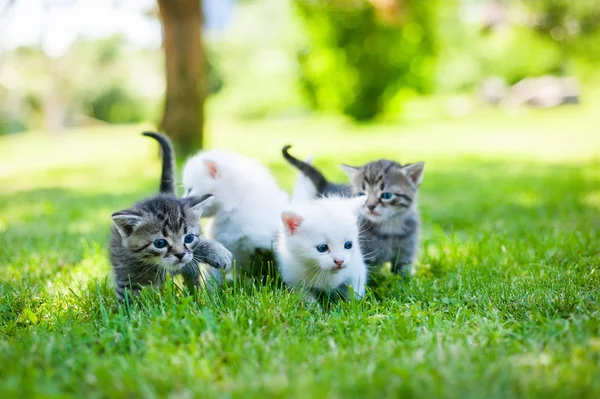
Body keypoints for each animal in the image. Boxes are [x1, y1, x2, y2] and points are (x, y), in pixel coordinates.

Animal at [108, 133, 232, 302]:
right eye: (160, 243)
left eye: (188, 238)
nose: (180, 255)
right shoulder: (125, 277)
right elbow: (128, 299)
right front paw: (130, 309)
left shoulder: (189, 257)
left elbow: (196, 250)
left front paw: (217, 253)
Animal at [282, 145, 426, 276]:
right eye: (362, 194)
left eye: (386, 195)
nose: (370, 206)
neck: (389, 229)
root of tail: (327, 183)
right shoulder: (365, 255)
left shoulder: (405, 255)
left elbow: (403, 275)